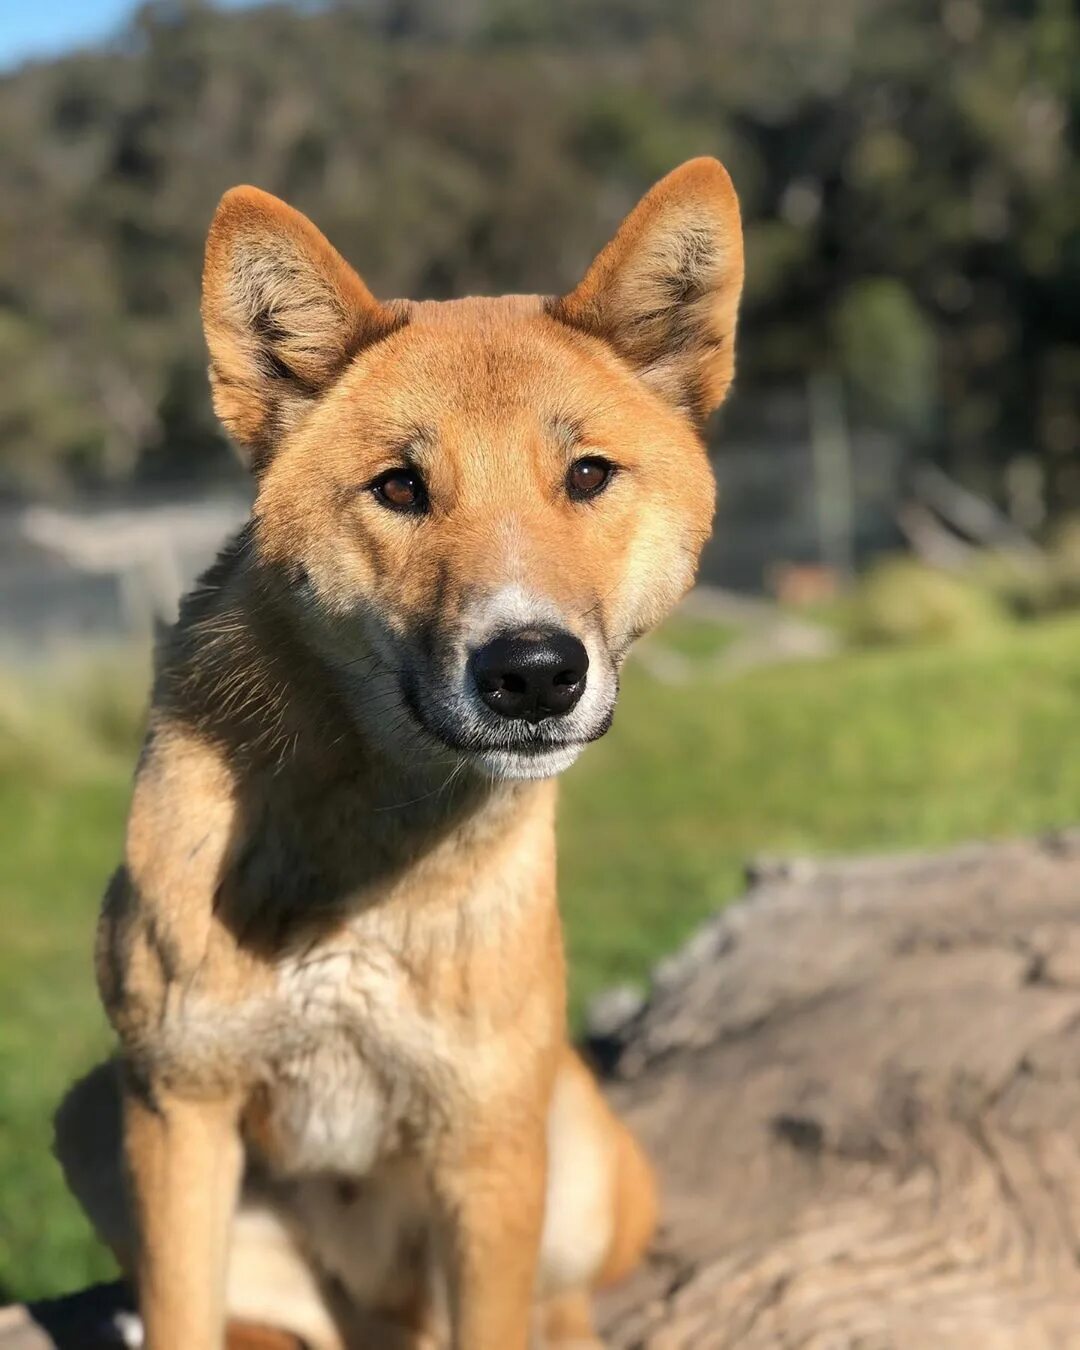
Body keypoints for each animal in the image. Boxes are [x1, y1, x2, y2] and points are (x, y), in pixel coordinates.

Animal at [50, 160, 745, 1350]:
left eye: (588, 475)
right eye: (400, 487)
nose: (532, 672)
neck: (366, 863)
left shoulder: (486, 1142)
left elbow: (501, 1319)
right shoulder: (177, 1105)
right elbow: (183, 1312)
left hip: (564, 1147)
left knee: (558, 1305)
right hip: (96, 1113)